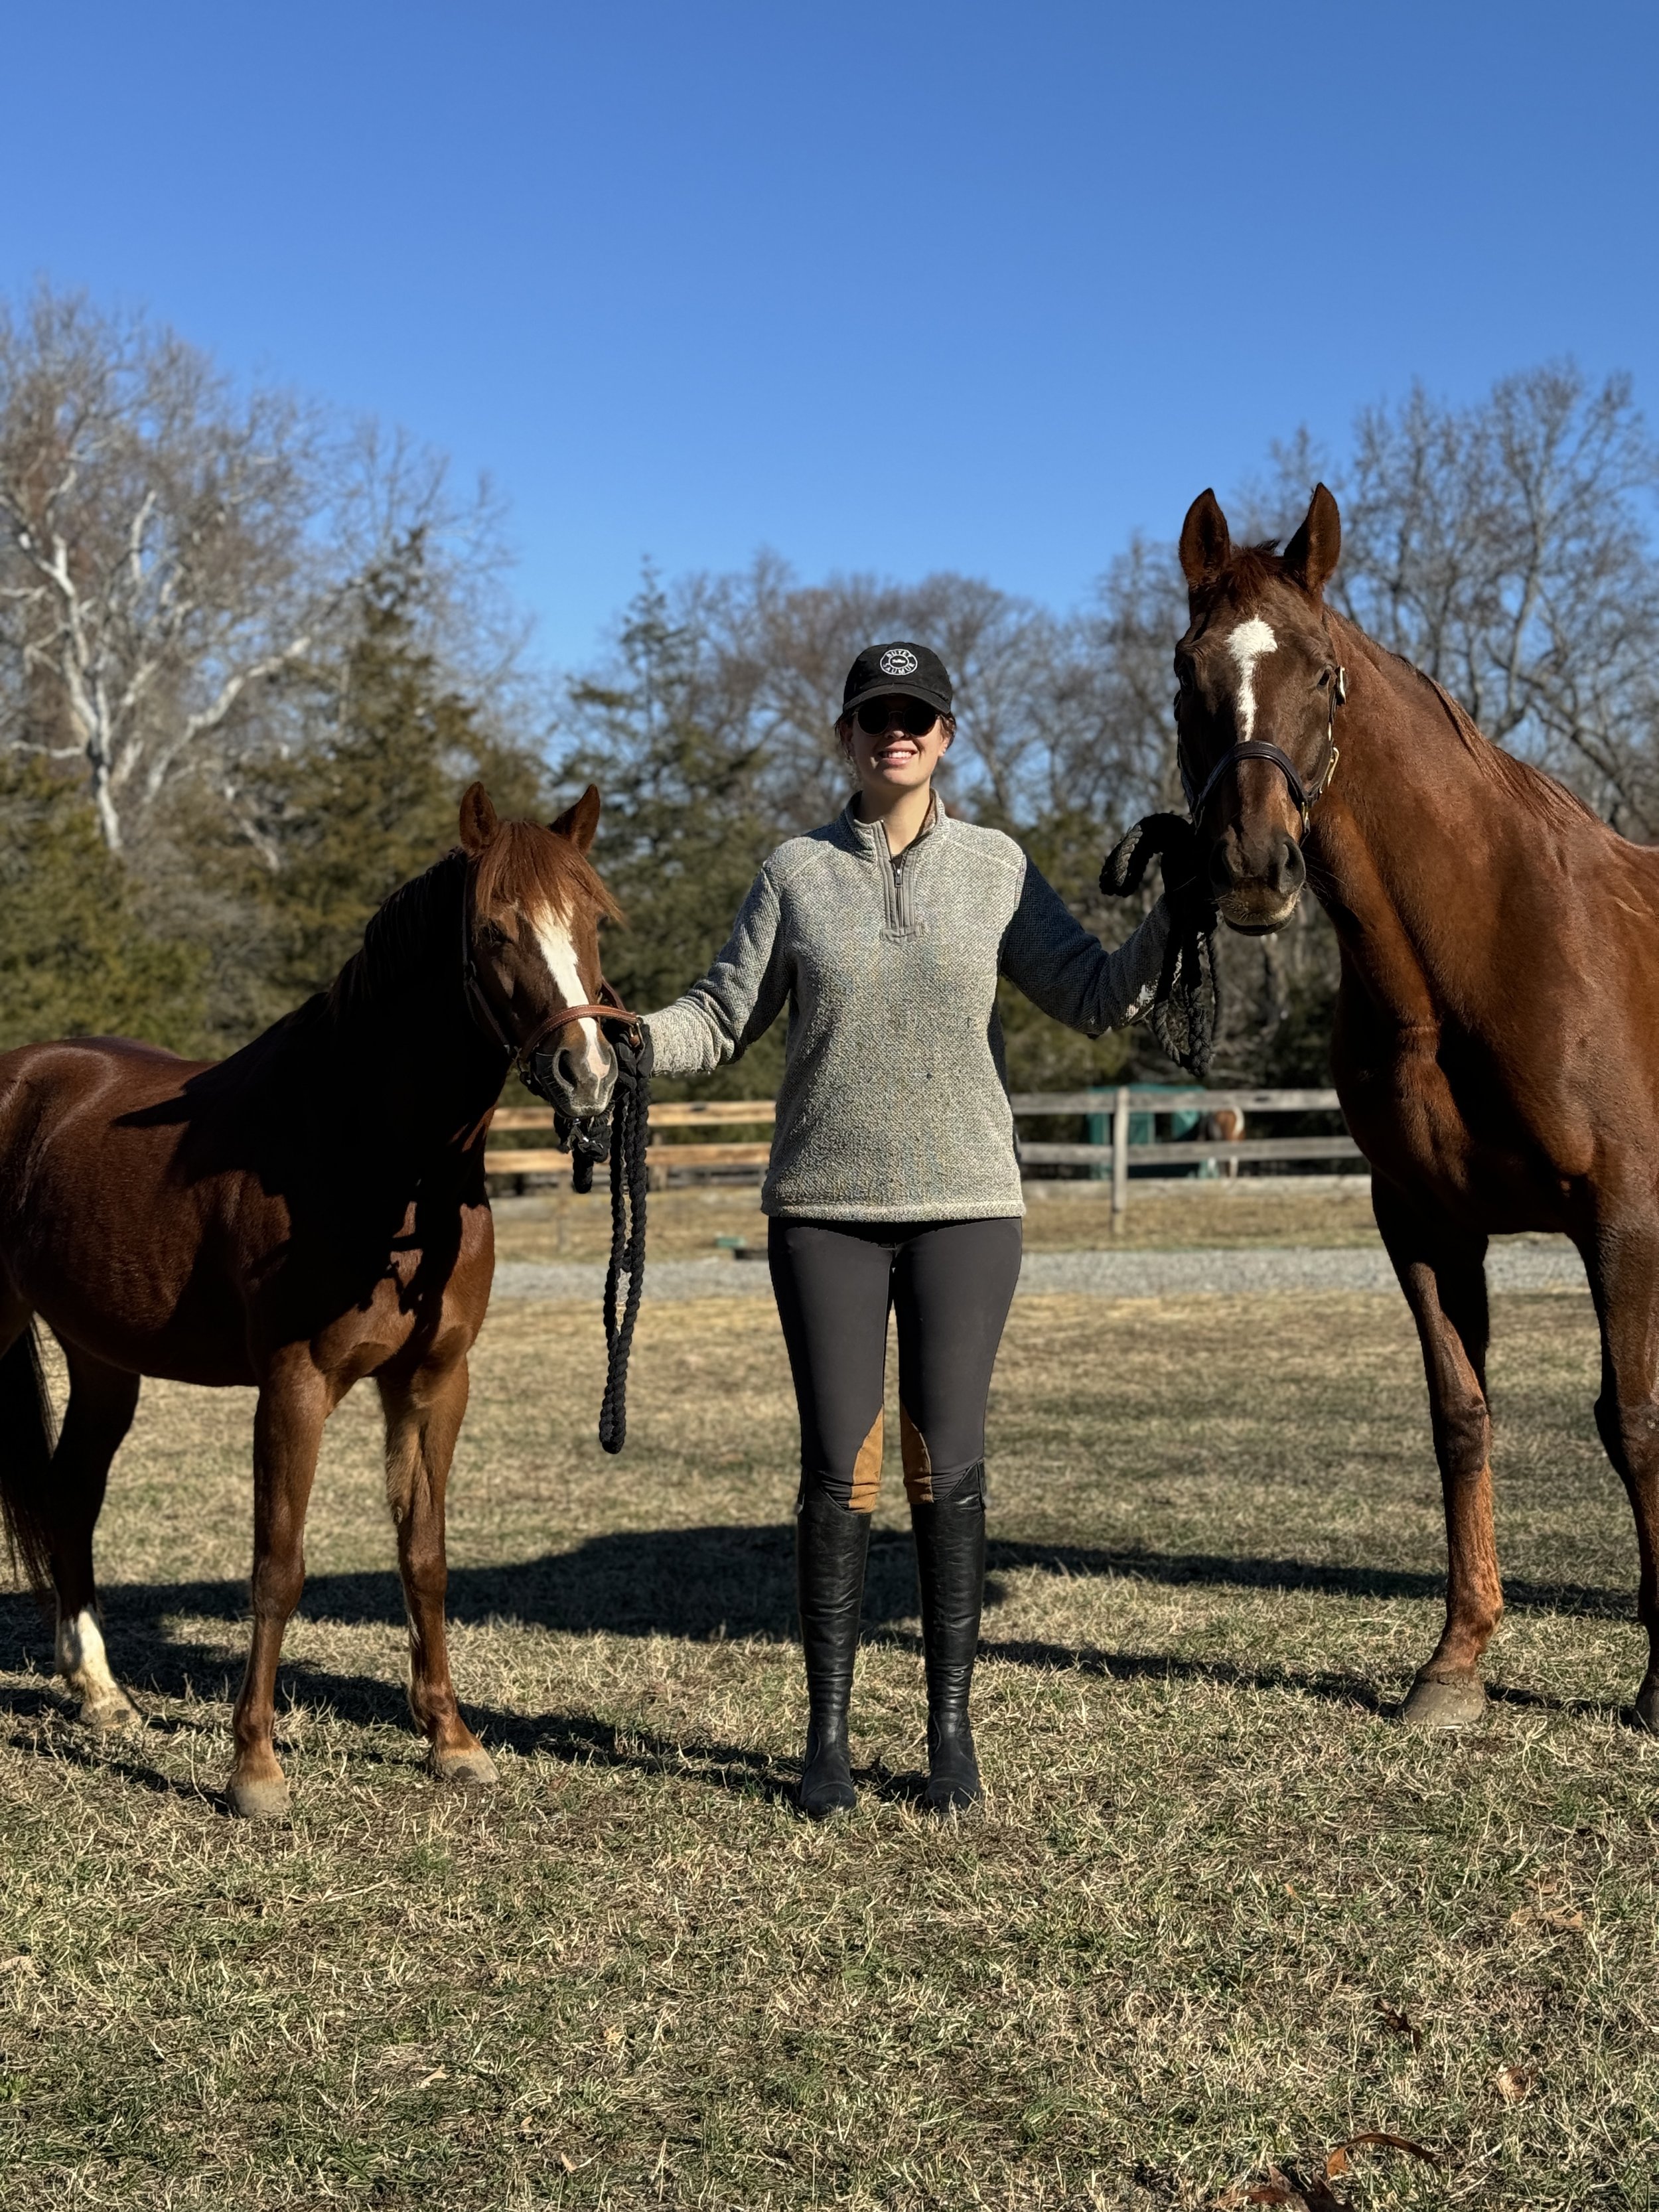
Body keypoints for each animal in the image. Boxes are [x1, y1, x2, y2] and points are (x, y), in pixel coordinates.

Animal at [0, 781, 621, 1817]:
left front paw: (451, 1740)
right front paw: (255, 1767)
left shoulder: (433, 1382)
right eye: (493, 931)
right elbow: (278, 1566)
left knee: (72, 1492)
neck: (373, 1154)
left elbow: (425, 1556)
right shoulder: (294, 1384)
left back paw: (101, 1694)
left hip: (102, 1357)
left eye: (595, 922)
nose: (589, 1075)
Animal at [1168, 481, 1659, 1733]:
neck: (1485, 945)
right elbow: (1462, 1420)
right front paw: (1455, 1663)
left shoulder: (1623, 1220)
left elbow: (1634, 1421)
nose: (1253, 867)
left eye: (1324, 672)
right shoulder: (1428, 1224)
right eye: (1186, 670)